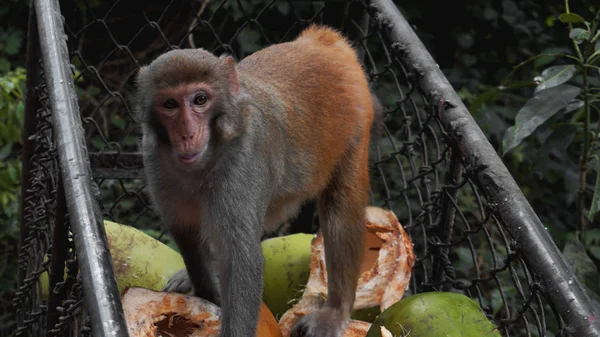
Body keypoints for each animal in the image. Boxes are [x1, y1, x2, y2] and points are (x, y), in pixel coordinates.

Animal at [135, 24, 378, 336]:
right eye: (170, 104)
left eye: (200, 99)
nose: (187, 133)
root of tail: (319, 42)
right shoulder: (154, 158)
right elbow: (186, 232)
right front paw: (204, 293)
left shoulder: (243, 160)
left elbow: (241, 260)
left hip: (356, 121)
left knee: (341, 209)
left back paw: (336, 310)